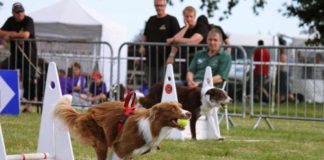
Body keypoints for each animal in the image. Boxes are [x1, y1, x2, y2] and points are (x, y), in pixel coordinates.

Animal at [53, 95, 190, 160]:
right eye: (172, 108)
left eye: (180, 106)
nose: (189, 113)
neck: (153, 126)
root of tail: (87, 111)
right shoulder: (121, 149)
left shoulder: (129, 154)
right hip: (101, 141)